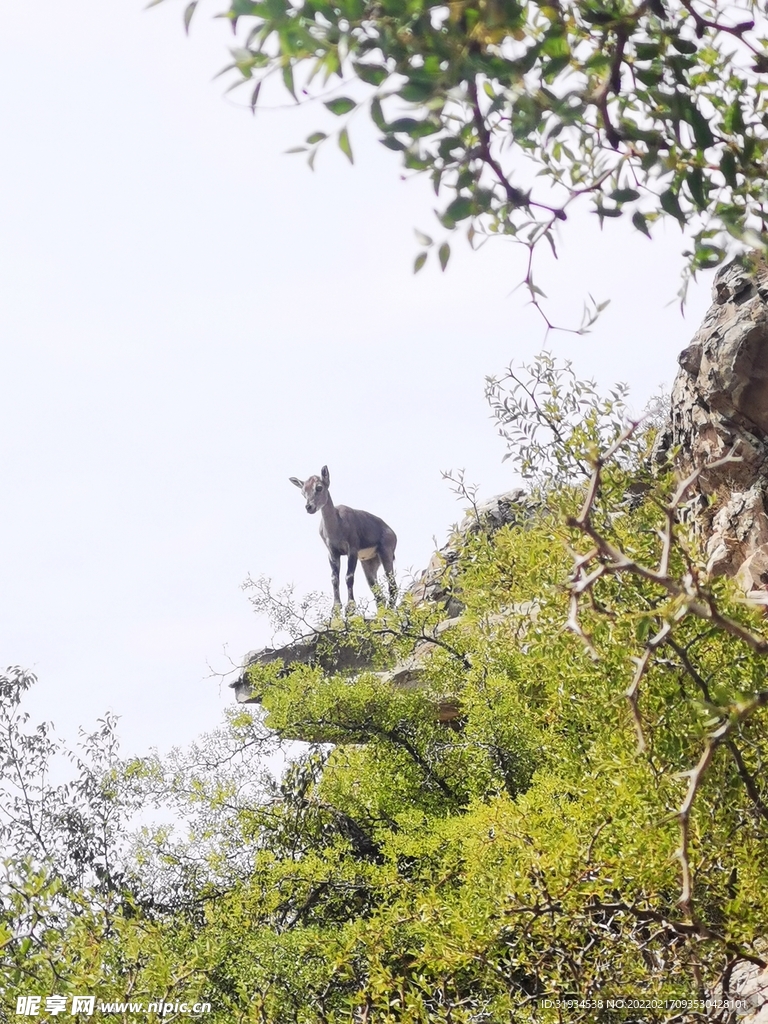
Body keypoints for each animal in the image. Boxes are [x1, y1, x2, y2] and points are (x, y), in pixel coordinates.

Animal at [288, 468, 397, 610]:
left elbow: (348, 577)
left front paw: (350, 607)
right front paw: (336, 608)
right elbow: (334, 578)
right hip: (369, 562)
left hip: (386, 553)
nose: (309, 507)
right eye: (303, 492)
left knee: (392, 586)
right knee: (378, 594)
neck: (337, 525)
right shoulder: (333, 553)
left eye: (319, 487)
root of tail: (392, 533)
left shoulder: (352, 550)